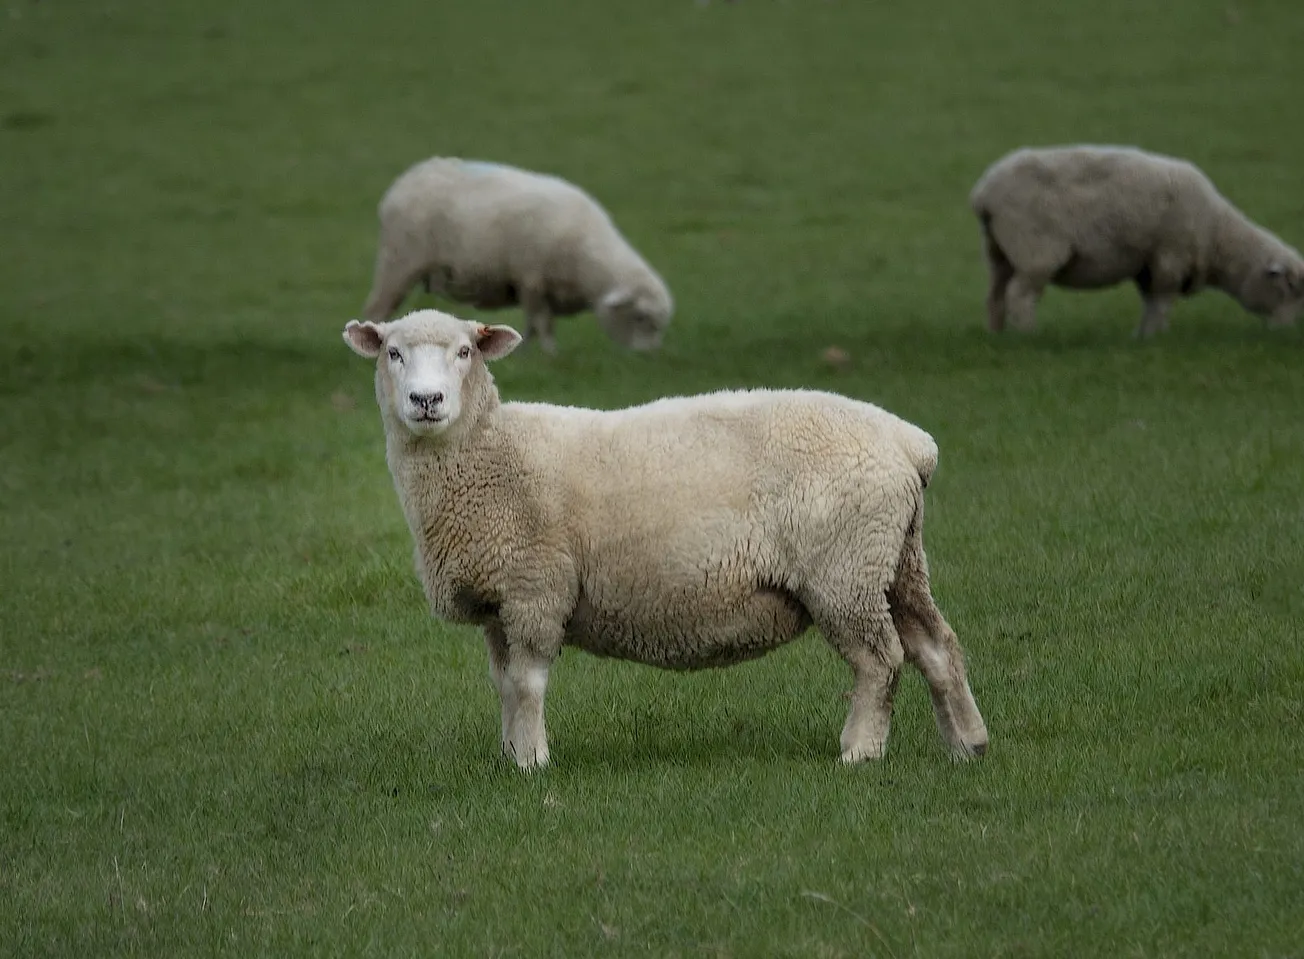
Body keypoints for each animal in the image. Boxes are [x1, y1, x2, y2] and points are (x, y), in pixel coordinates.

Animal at [341, 307, 980, 772]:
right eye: (393, 353)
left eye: (465, 352)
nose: (427, 401)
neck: (488, 453)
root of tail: (909, 443)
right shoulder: (501, 600)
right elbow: (502, 686)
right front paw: (510, 755)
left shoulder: (536, 586)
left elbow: (526, 684)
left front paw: (532, 763)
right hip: (895, 558)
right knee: (936, 646)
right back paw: (966, 745)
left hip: (845, 567)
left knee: (880, 659)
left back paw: (860, 751)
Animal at [365, 157, 678, 357]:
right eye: (640, 317)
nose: (649, 356)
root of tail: (402, 183)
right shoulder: (532, 279)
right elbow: (542, 323)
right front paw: (551, 355)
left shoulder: (538, 287)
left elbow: (532, 325)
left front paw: (524, 353)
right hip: (398, 262)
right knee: (376, 309)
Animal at [970, 142, 1304, 336]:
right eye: (1290, 288)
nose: (1286, 332)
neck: (1218, 236)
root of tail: (984, 193)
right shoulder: (1171, 257)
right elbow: (1162, 301)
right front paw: (1156, 336)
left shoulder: (1147, 264)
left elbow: (1149, 300)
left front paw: (1142, 338)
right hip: (1035, 251)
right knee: (1020, 295)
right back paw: (1029, 335)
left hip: (1000, 251)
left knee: (995, 294)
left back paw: (998, 335)